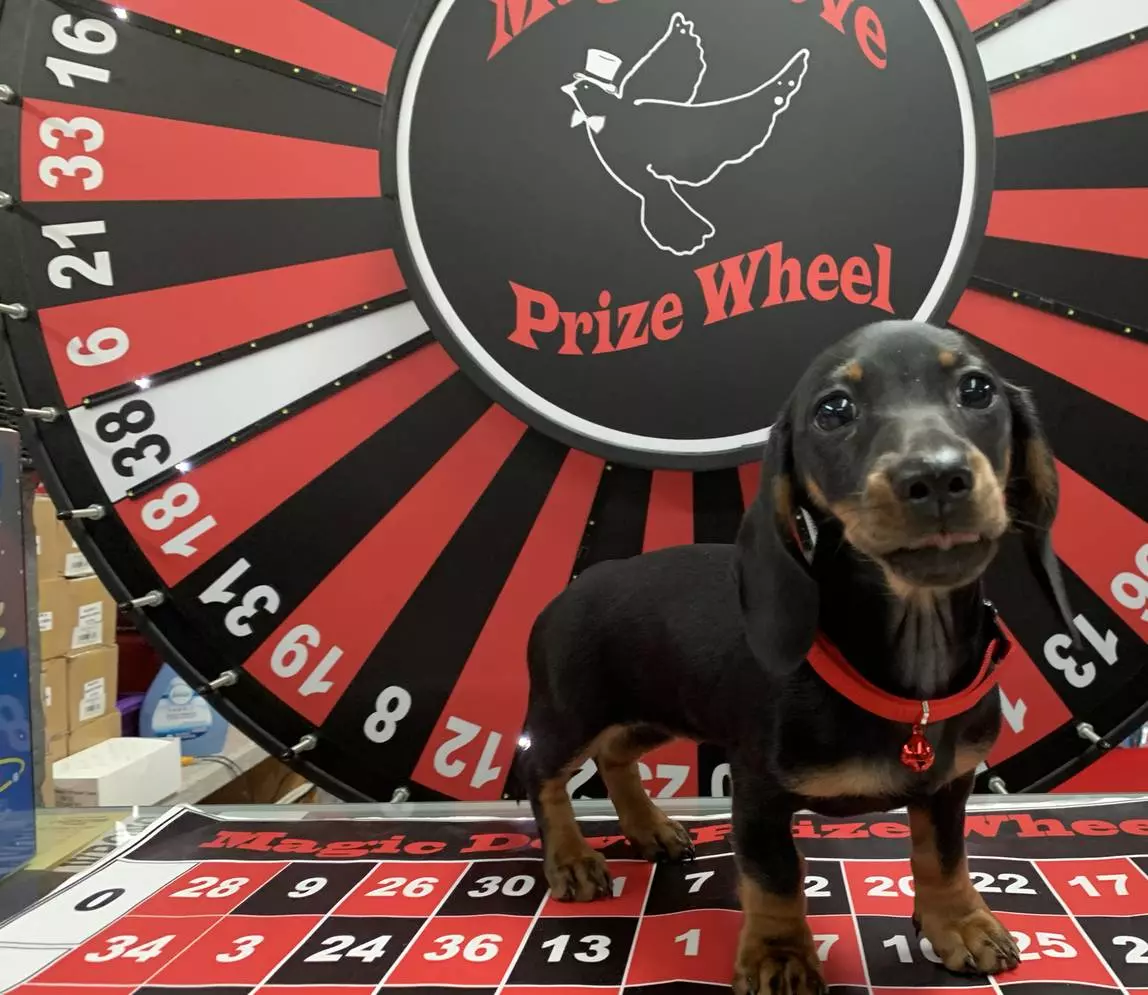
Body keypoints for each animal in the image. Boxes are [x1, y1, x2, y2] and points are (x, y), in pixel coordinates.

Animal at [521, 321, 1074, 995]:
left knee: (617, 756)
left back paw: (648, 826)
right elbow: (776, 877)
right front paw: (778, 956)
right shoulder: (759, 793)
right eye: (833, 410)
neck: (912, 657)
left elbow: (943, 855)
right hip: (571, 712)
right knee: (544, 775)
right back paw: (571, 858)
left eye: (977, 389)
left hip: (651, 712)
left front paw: (959, 923)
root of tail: (570, 589)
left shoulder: (950, 782)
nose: (937, 478)